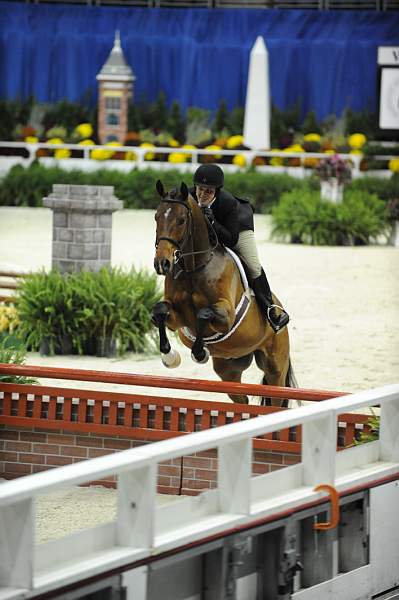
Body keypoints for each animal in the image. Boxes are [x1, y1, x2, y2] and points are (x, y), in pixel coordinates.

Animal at [152, 180, 296, 406]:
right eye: (156, 217)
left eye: (181, 220)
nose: (161, 264)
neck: (195, 267)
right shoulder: (176, 318)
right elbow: (159, 311)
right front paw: (169, 356)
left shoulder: (227, 316)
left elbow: (203, 314)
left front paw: (199, 352)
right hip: (228, 369)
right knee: (242, 400)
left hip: (275, 367)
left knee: (276, 394)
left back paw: (275, 317)